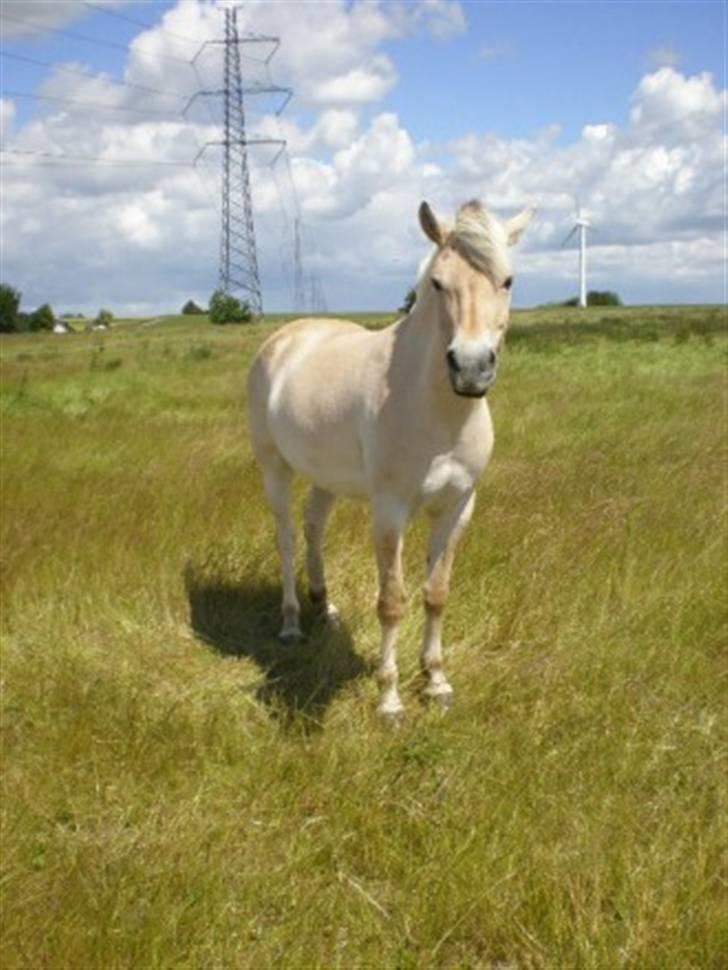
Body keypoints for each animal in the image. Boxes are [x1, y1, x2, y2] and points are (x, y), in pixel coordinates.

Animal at [247, 199, 536, 712]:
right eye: (437, 282)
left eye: (507, 280)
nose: (471, 368)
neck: (436, 413)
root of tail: (284, 339)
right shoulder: (390, 510)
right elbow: (392, 601)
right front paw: (390, 699)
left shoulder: (459, 507)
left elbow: (436, 593)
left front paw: (437, 681)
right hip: (274, 469)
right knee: (286, 537)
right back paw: (292, 624)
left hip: (325, 478)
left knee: (314, 526)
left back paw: (326, 606)